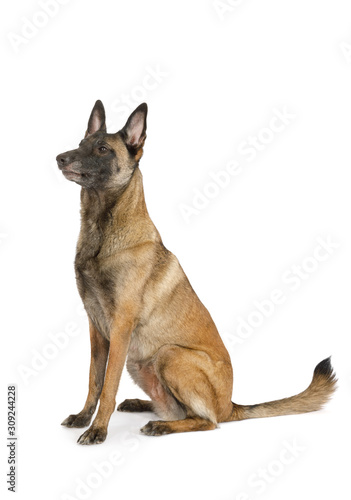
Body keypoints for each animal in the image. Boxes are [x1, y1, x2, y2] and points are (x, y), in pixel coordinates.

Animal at [57, 99, 338, 444]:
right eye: (81, 143)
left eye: (102, 149)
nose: (60, 158)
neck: (102, 230)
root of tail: (230, 405)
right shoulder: (96, 329)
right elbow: (94, 381)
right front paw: (84, 417)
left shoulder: (120, 328)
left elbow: (108, 385)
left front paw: (98, 429)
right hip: (142, 364)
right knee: (179, 410)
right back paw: (143, 405)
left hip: (169, 355)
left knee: (207, 421)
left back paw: (162, 425)